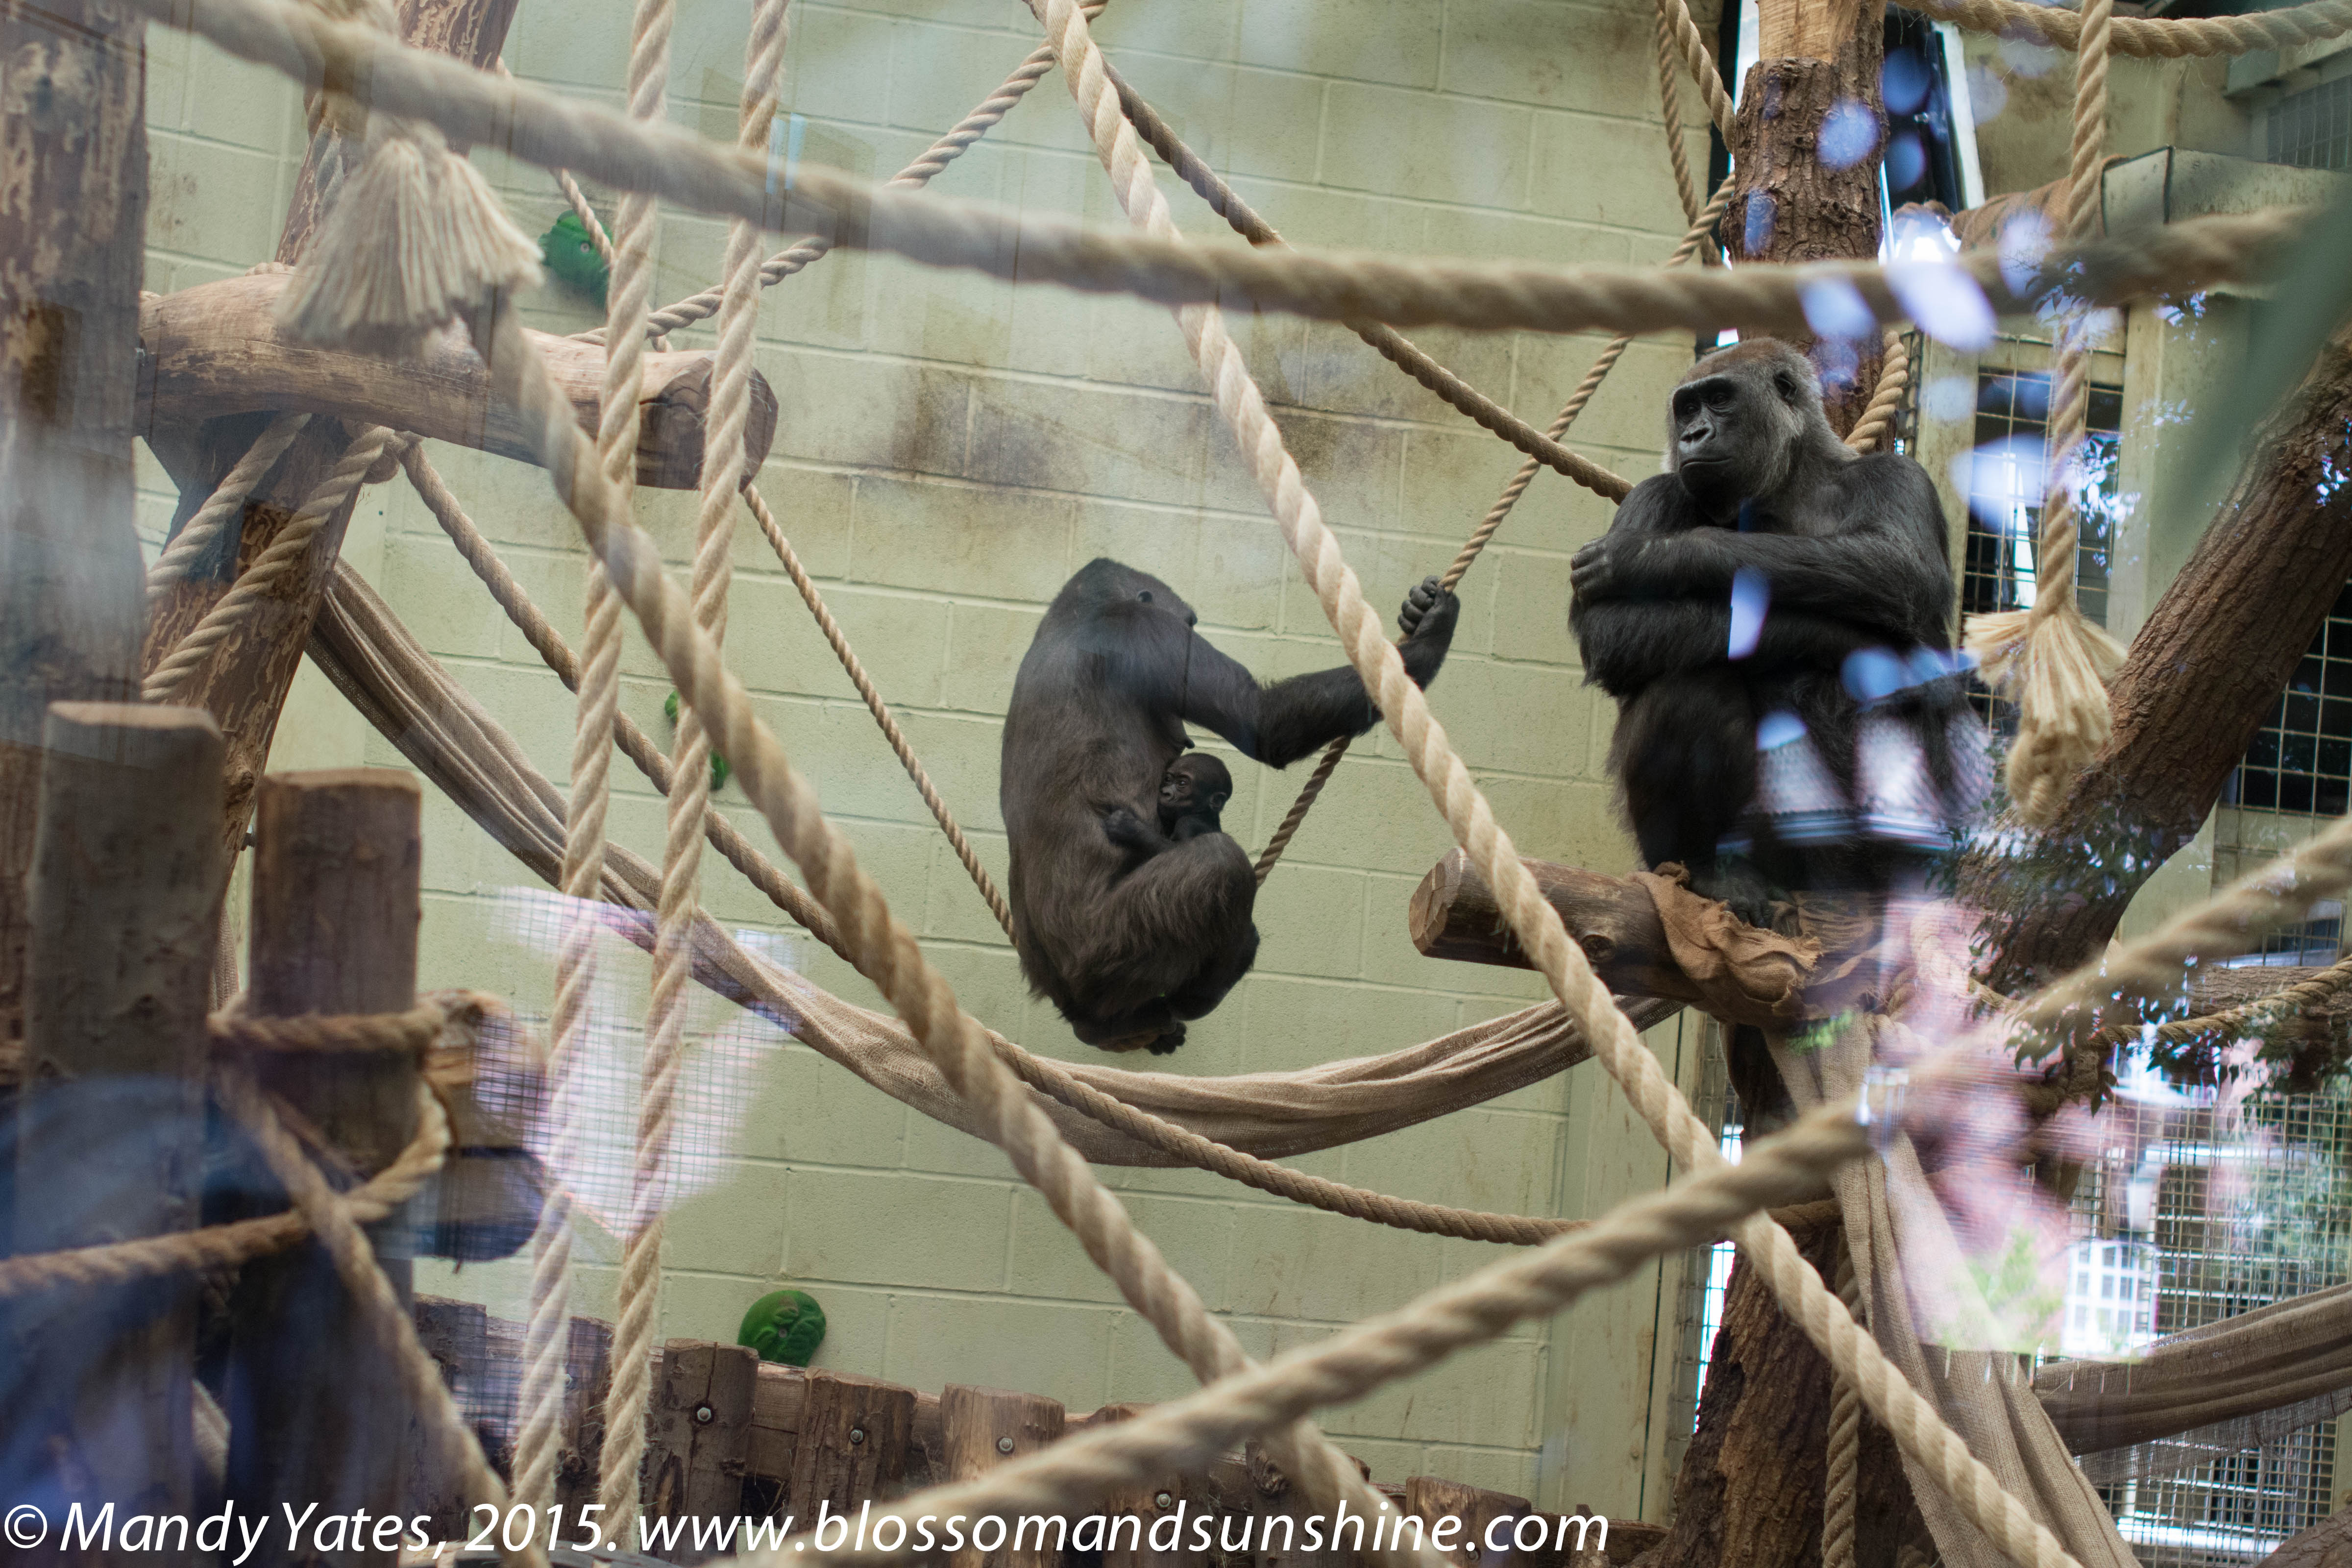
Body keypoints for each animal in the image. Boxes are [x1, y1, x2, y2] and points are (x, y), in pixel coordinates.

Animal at [1002, 558, 1459, 1054]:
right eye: (1187, 623)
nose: (1192, 624)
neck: (1072, 618)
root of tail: (1070, 1003)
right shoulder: (1148, 630)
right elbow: (1262, 719)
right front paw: (1434, 632)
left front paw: (1423, 613)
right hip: (1100, 957)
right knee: (1221, 864)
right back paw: (1191, 995)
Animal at [1568, 339, 1983, 924]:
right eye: (1686, 409)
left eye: (1719, 399)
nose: (1693, 435)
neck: (1790, 483)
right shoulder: (1655, 493)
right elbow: (1612, 631)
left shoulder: (1899, 477)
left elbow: (1903, 566)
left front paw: (1654, 556)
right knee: (1689, 684)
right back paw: (1710, 867)